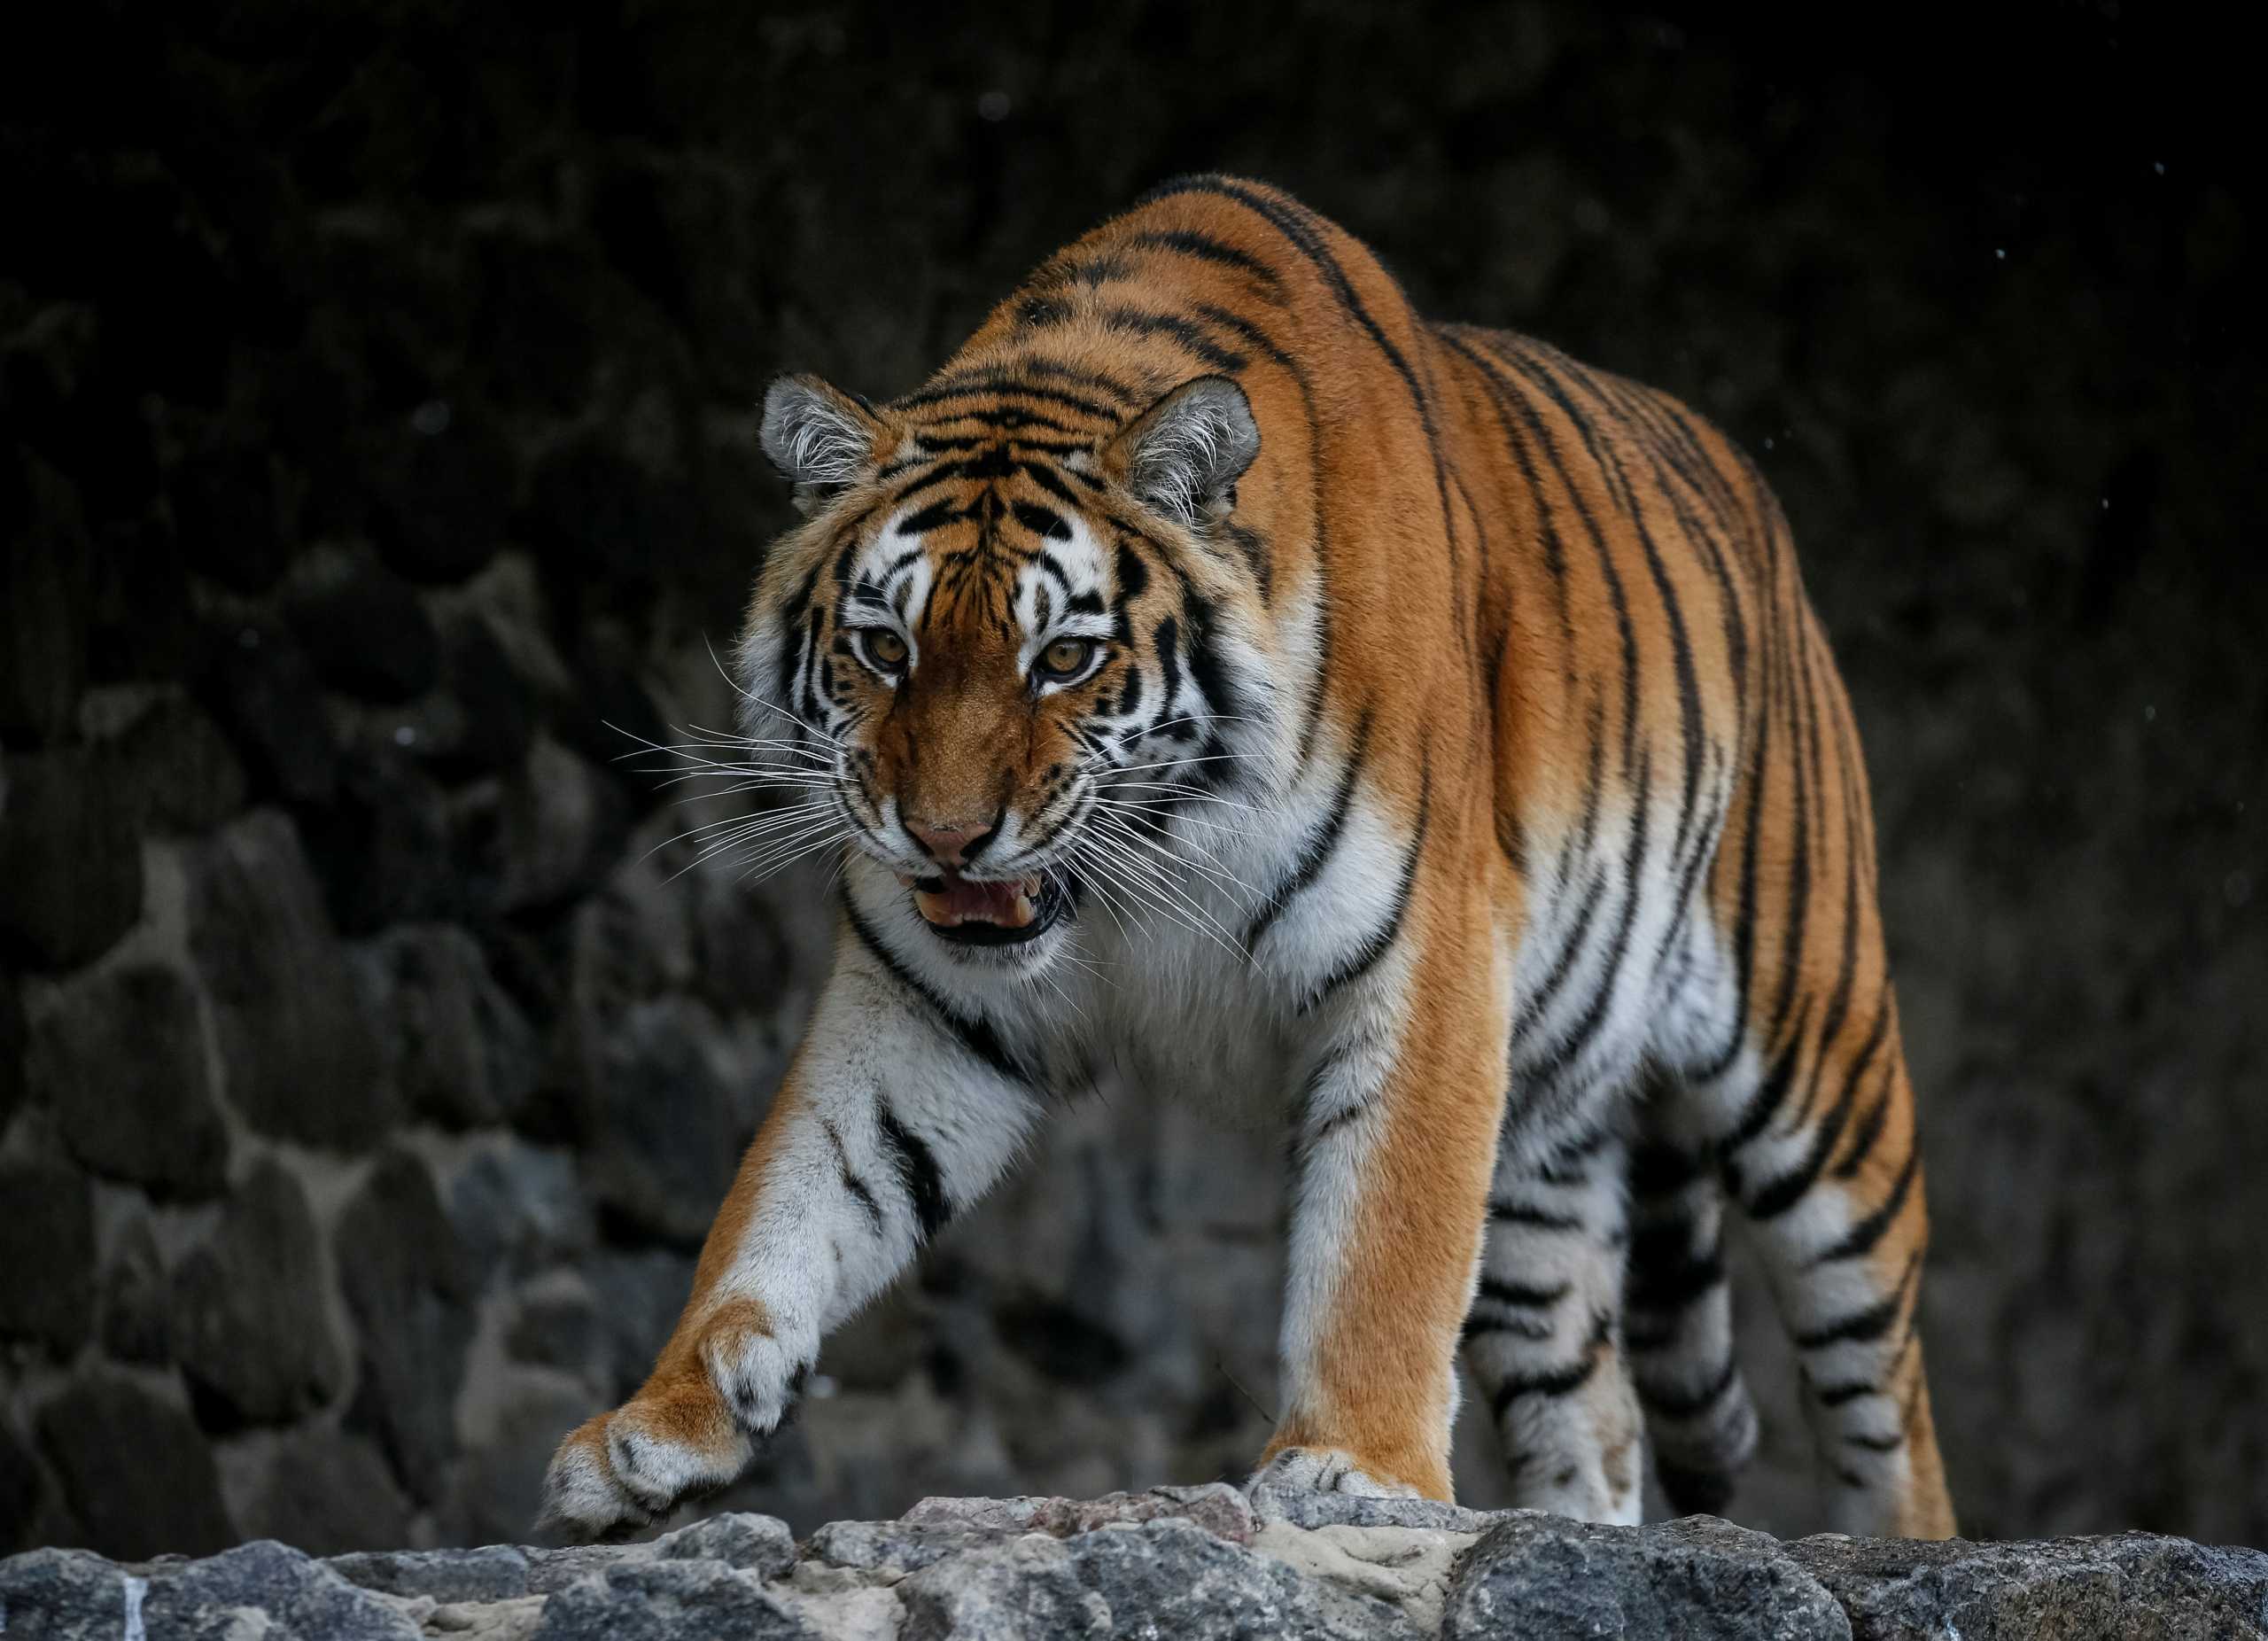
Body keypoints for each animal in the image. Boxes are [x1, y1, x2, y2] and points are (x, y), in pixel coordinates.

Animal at [540, 170, 1959, 1543]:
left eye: (1064, 657)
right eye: (884, 648)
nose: (943, 834)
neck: (1150, 855)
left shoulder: (1429, 966)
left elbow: (1385, 1248)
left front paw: (1354, 1471)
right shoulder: (925, 1006)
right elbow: (793, 1195)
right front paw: (658, 1425)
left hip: (1820, 1075)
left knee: (1885, 1406)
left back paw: (1897, 1541)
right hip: (1545, 1149)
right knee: (1592, 1407)